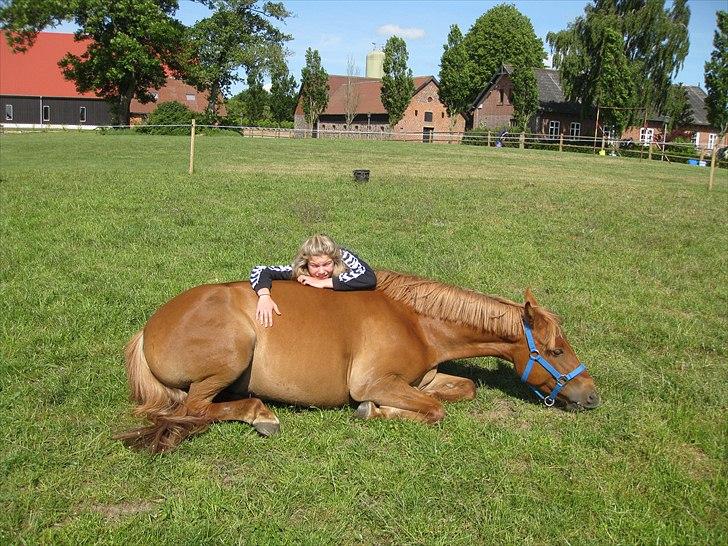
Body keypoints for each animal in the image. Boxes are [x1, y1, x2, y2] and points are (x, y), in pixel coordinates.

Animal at [116, 268, 600, 450]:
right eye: (556, 350)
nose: (592, 396)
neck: (415, 322)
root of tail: (147, 329)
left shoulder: (425, 378)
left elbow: (464, 388)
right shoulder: (373, 382)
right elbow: (435, 410)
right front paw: (375, 412)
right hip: (230, 360)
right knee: (198, 408)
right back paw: (260, 414)